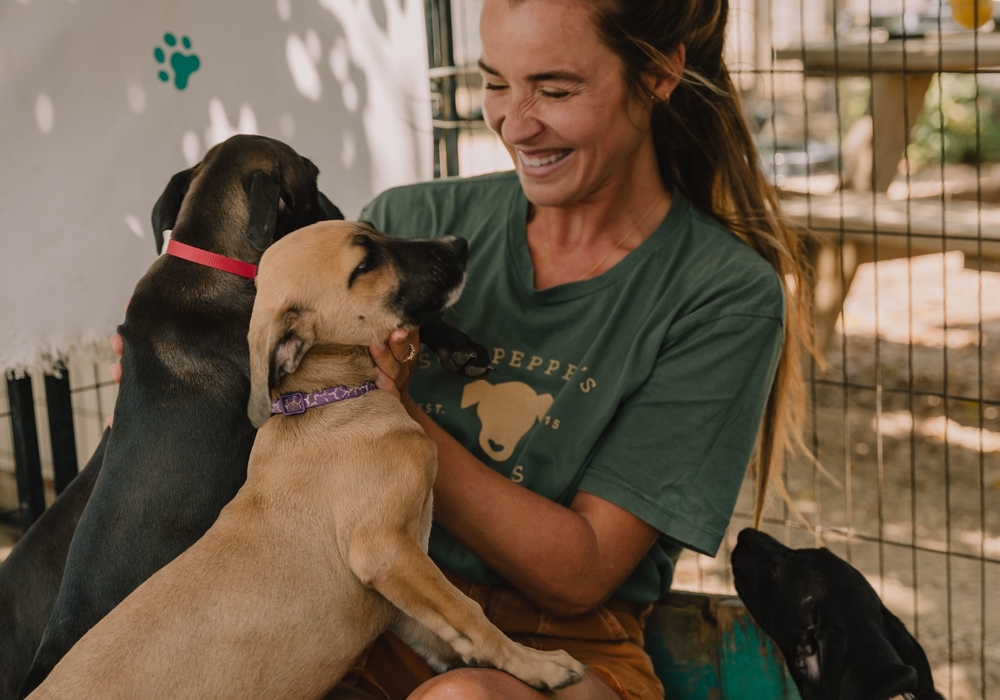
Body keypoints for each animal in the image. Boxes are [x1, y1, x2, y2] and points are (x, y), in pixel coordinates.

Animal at [29, 223, 584, 700]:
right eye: (365, 263)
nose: (459, 243)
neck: (327, 400)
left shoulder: (396, 594)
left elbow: (449, 630)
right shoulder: (383, 549)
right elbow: (468, 612)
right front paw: (538, 665)